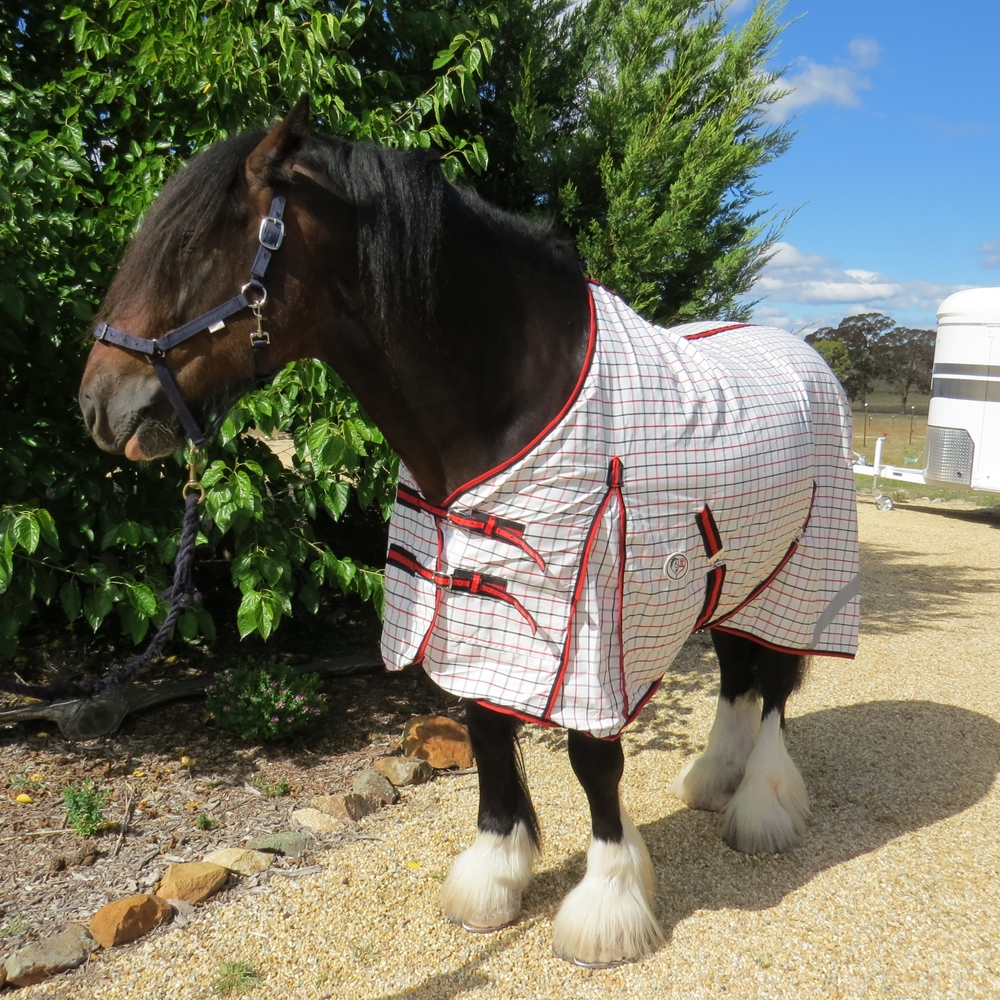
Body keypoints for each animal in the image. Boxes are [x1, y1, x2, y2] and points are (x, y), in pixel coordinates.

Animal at [79, 95, 860, 967]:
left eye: (193, 254)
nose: (100, 406)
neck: (514, 400)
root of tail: (804, 355)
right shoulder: (480, 606)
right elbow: (485, 729)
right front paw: (494, 876)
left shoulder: (586, 630)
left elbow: (592, 758)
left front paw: (606, 908)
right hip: (733, 572)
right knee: (737, 674)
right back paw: (714, 780)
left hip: (802, 576)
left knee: (776, 686)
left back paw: (760, 807)